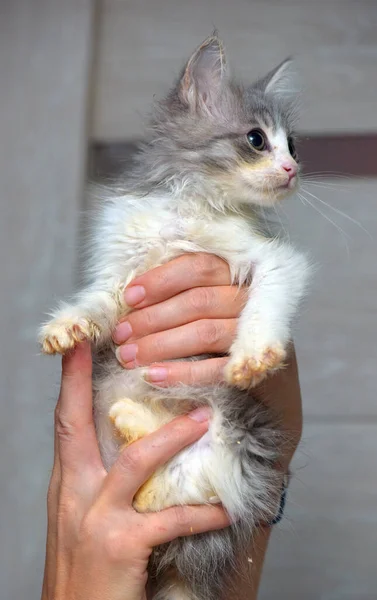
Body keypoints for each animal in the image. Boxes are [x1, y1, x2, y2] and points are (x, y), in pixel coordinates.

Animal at [39, 36, 308, 600]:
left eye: (293, 145)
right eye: (257, 140)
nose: (292, 170)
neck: (191, 206)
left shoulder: (275, 260)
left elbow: (268, 298)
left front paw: (253, 356)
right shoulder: (120, 270)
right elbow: (98, 302)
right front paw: (66, 326)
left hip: (237, 433)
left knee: (201, 486)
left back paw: (139, 432)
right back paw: (134, 425)